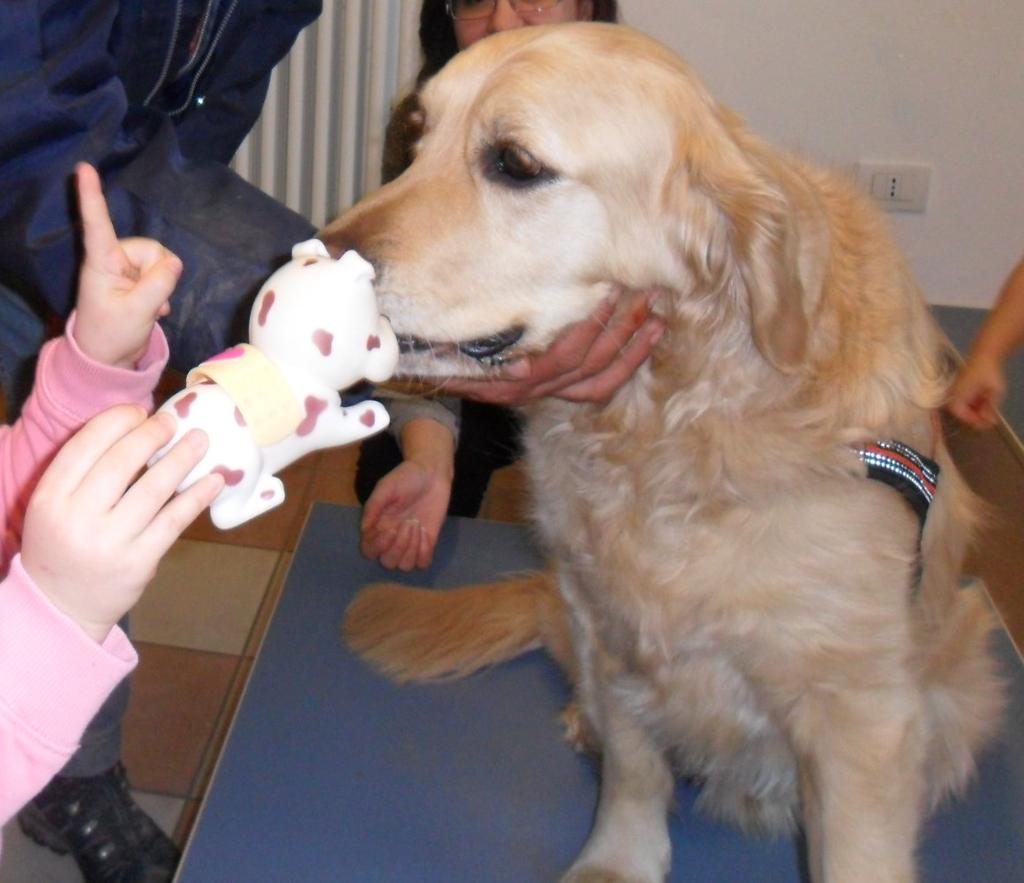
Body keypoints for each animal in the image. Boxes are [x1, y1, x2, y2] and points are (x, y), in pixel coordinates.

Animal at [325, 22, 999, 883]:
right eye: (416, 136)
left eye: (515, 163)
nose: (316, 251)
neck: (667, 420)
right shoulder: (612, 626)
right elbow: (634, 771)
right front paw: (618, 860)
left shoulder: (861, 710)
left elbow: (858, 851)